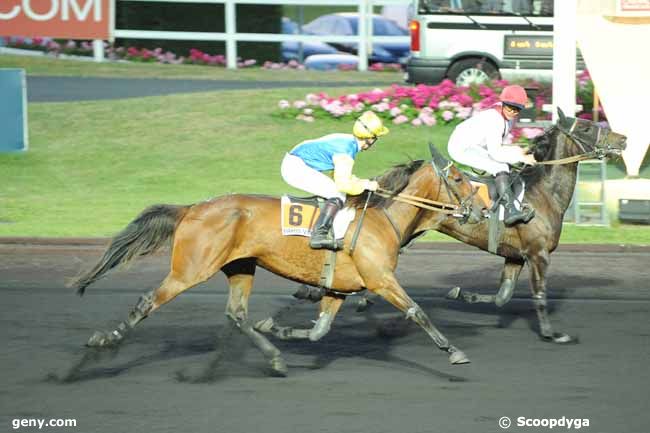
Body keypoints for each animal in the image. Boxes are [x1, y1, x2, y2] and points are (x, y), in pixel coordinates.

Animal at [73, 154, 480, 374]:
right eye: (459, 178)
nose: (477, 209)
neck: (383, 219)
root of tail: (192, 208)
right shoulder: (380, 279)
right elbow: (417, 311)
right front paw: (454, 352)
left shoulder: (339, 288)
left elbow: (318, 331)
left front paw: (279, 328)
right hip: (190, 269)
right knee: (148, 301)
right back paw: (105, 339)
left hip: (241, 266)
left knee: (237, 315)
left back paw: (275, 358)